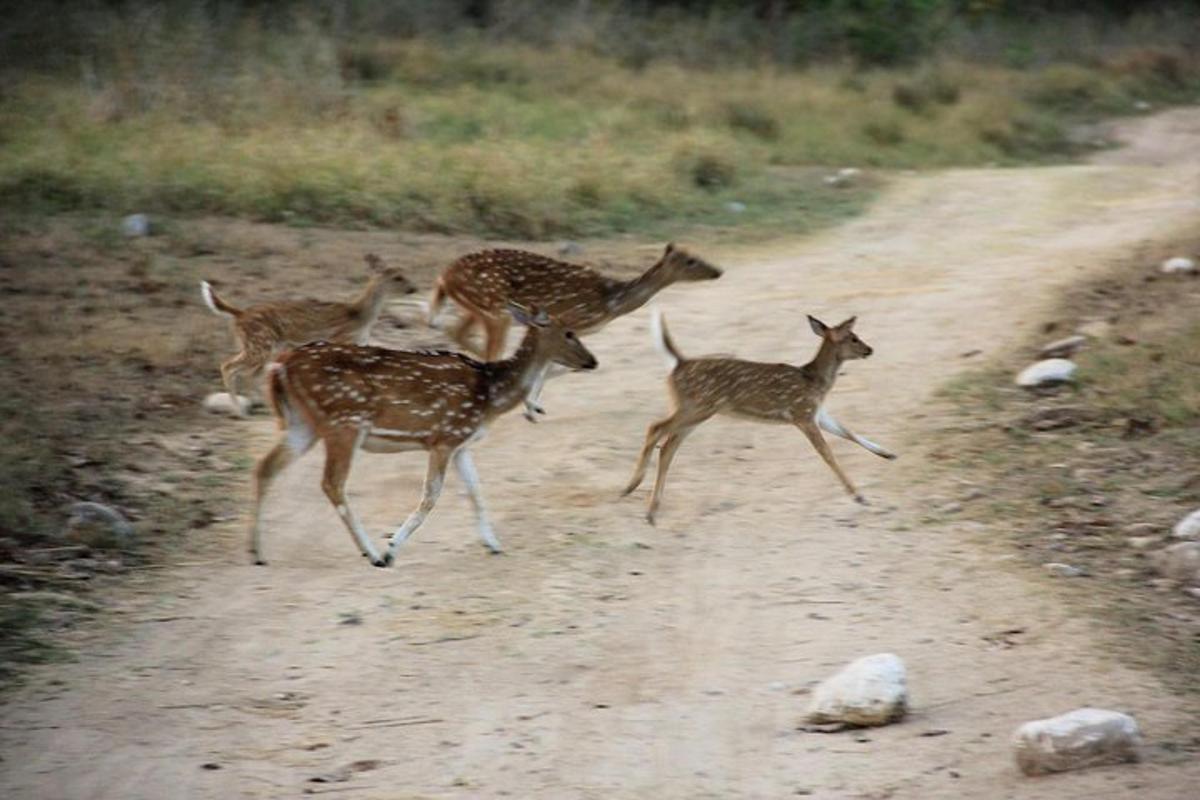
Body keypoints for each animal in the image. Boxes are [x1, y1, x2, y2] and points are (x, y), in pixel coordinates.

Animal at [201, 255, 417, 419]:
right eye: (397, 277)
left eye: (404, 274)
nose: (413, 288)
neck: (360, 317)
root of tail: (239, 314)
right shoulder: (342, 340)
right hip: (260, 345)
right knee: (229, 366)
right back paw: (241, 411)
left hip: (265, 347)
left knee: (249, 374)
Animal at [248, 302, 595, 568]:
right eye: (569, 332)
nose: (592, 360)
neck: (490, 395)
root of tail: (280, 366)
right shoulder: (443, 437)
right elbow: (431, 496)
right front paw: (391, 548)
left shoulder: (461, 443)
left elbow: (476, 490)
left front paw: (494, 544)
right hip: (344, 423)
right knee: (332, 483)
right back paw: (372, 553)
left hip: (302, 424)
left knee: (265, 467)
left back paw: (257, 552)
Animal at [427, 242, 715, 419]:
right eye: (690, 261)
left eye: (697, 255)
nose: (718, 271)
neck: (609, 302)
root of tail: (443, 277)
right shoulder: (570, 322)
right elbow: (553, 366)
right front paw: (531, 408)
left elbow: (554, 366)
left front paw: (533, 406)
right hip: (495, 310)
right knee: (487, 349)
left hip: (481, 309)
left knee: (458, 331)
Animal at [628, 309, 892, 525]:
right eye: (853, 337)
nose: (869, 349)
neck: (816, 381)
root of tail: (678, 364)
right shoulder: (802, 414)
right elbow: (827, 454)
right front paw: (859, 496)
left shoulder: (817, 413)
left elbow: (848, 432)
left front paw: (888, 453)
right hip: (698, 406)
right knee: (656, 428)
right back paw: (634, 489)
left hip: (695, 410)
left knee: (668, 445)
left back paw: (650, 509)